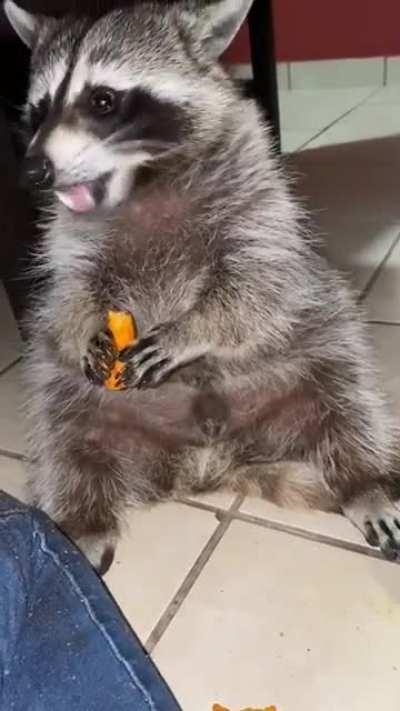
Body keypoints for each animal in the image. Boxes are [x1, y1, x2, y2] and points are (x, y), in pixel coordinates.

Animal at [5, 0, 400, 574]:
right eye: (37, 111)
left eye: (102, 100)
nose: (33, 171)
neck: (138, 183)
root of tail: (205, 462)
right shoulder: (66, 238)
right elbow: (69, 291)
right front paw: (83, 326)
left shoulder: (258, 197)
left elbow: (259, 281)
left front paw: (190, 328)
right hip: (79, 395)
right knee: (63, 431)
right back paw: (78, 526)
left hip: (314, 344)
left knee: (348, 398)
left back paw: (367, 481)